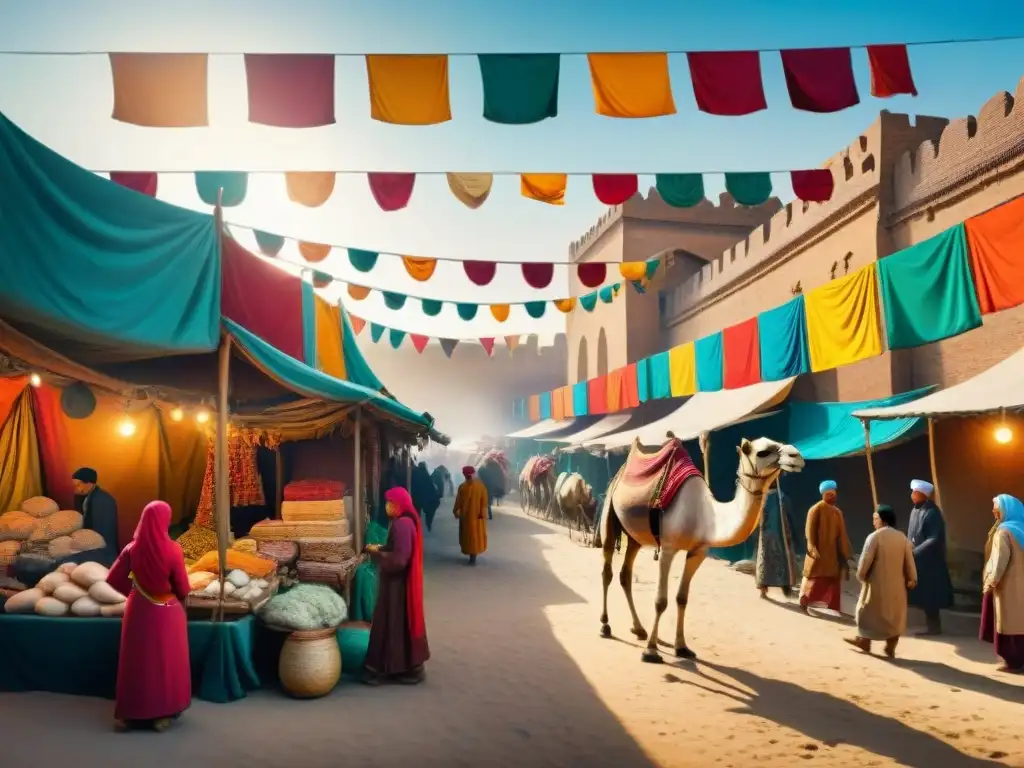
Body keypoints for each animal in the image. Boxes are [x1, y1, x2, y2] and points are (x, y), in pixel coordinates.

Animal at [598, 436, 802, 663]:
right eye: (763, 452)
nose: (796, 456)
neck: (705, 516)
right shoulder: (668, 548)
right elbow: (661, 601)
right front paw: (650, 651)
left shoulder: (698, 552)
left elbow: (682, 598)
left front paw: (681, 647)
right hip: (609, 512)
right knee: (607, 570)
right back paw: (606, 625)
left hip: (635, 537)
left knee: (625, 574)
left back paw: (640, 629)